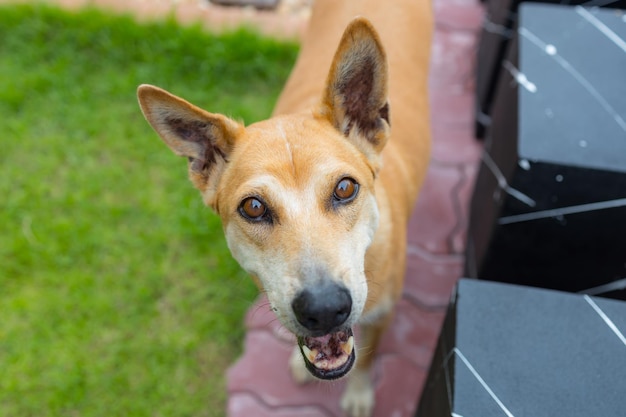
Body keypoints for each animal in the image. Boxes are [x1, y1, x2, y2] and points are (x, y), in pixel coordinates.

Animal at [136, 1, 428, 414]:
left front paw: (359, 393)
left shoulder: (383, 315)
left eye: (345, 188)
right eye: (254, 207)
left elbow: (368, 359)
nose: (324, 309)